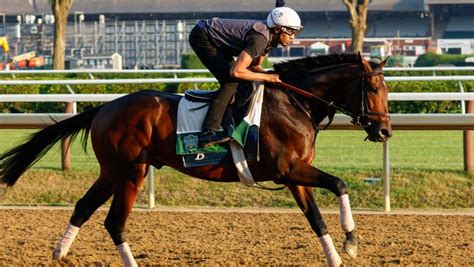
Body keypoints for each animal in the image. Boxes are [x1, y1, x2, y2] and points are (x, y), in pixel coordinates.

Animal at [0, 53, 390, 266]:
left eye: (386, 91)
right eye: (373, 89)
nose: (385, 131)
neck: (294, 103)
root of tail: (105, 107)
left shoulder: (294, 175)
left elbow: (316, 219)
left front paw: (338, 255)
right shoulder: (289, 169)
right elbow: (339, 184)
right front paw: (351, 242)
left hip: (112, 173)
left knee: (83, 207)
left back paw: (60, 253)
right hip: (131, 173)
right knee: (114, 222)